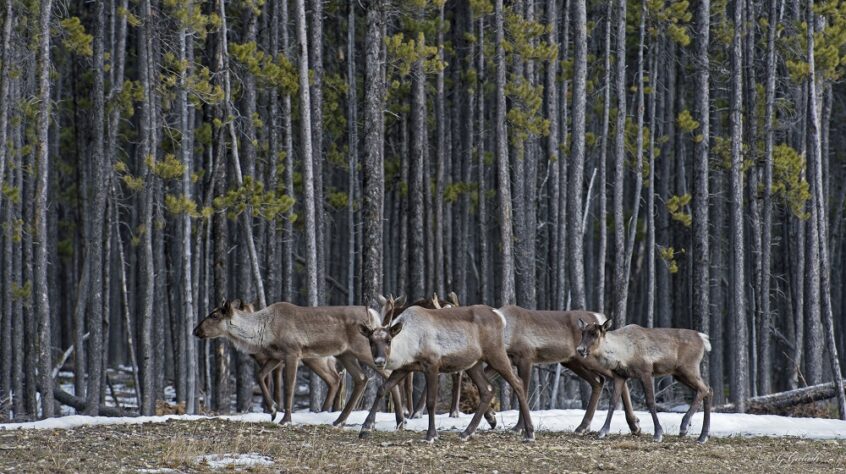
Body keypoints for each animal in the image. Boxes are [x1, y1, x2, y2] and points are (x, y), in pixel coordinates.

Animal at [360, 306, 532, 442]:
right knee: (487, 389)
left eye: (388, 340)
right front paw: (365, 427)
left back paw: (529, 433)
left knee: (518, 383)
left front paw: (431, 435)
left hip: (496, 354)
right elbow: (382, 388)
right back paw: (467, 433)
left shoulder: (432, 365)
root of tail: (499, 317)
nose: (380, 361)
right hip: (474, 364)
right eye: (370, 341)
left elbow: (431, 402)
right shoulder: (405, 368)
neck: (408, 343)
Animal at [576, 318, 716, 444]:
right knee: (708, 390)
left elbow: (650, 402)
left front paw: (658, 434)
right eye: (583, 333)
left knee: (704, 389)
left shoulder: (646, 372)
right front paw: (603, 431)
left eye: (595, 334)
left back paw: (684, 427)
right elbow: (613, 402)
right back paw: (703, 436)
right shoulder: (620, 375)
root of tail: (703, 339)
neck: (622, 353)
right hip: (679, 374)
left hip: (688, 368)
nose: (580, 349)